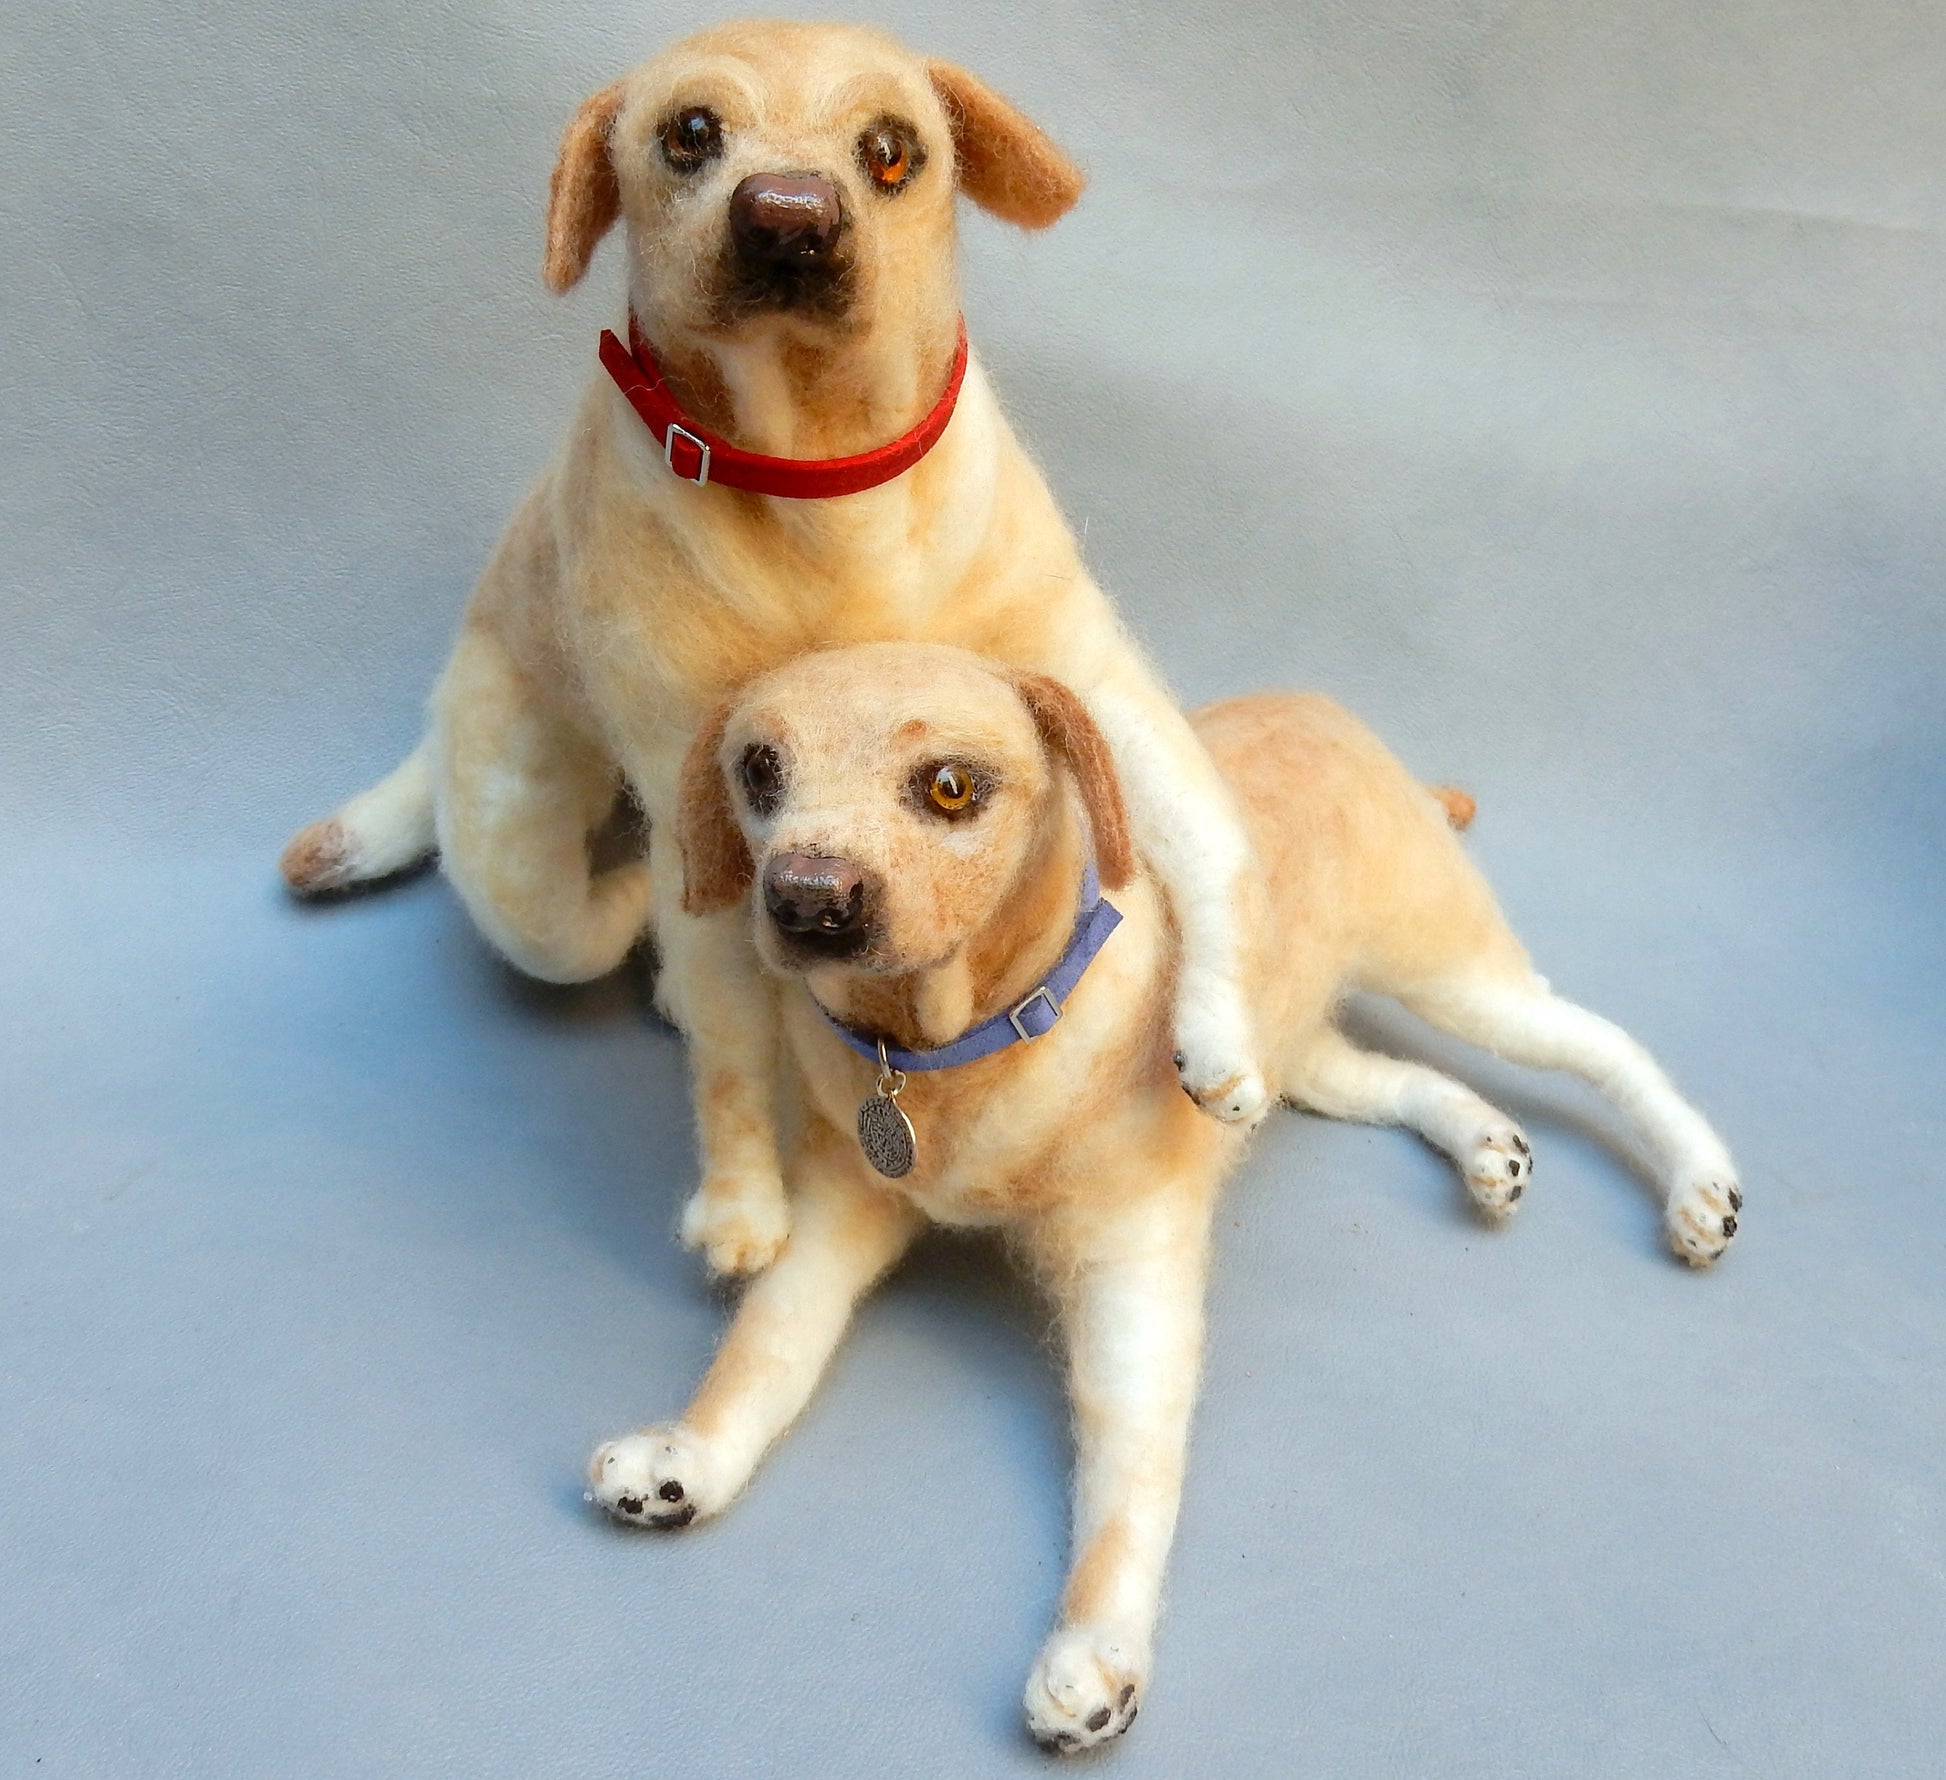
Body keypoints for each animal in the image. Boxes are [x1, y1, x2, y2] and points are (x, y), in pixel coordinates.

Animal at [583, 641, 1743, 1750]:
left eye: (951, 786)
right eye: (757, 769)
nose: (805, 899)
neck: (951, 1050)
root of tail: (1321, 705)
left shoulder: (1131, 1282)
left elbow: (1126, 1480)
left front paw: (1097, 1649)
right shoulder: (837, 1215)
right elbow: (763, 1346)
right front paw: (691, 1454)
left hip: (1454, 970)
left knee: (1607, 1048)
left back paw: (1701, 1187)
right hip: (1290, 1047)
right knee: (1398, 1078)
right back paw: (1487, 1144)